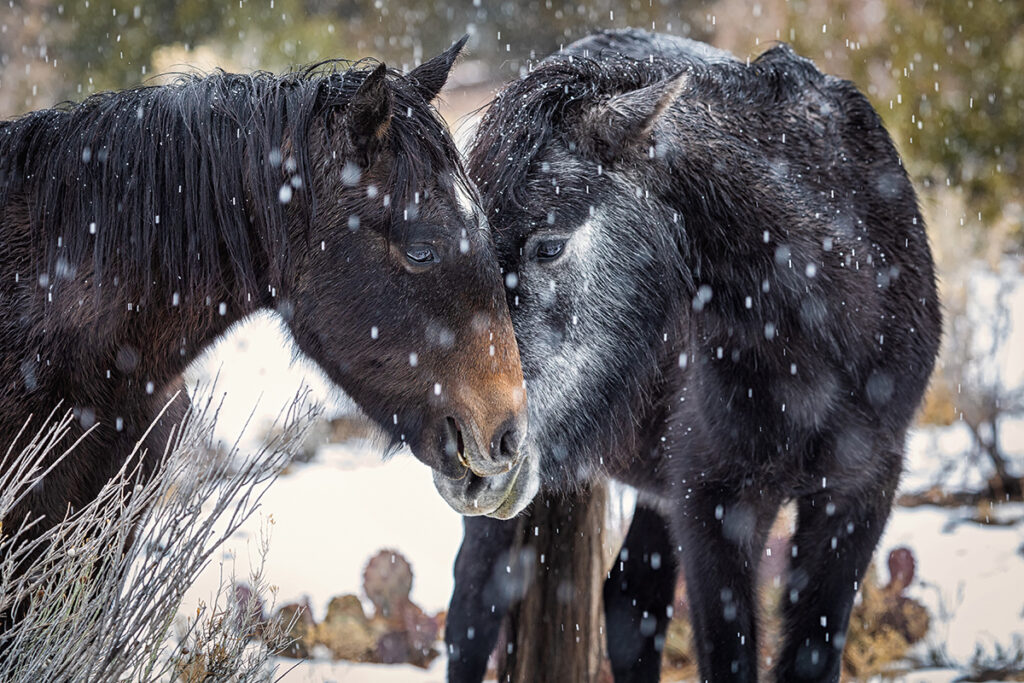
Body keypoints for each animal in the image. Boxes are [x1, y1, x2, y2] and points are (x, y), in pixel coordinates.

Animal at [444, 28, 937, 683]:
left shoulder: (857, 496)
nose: (472, 449)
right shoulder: (715, 507)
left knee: (630, 604)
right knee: (475, 612)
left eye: (548, 246)